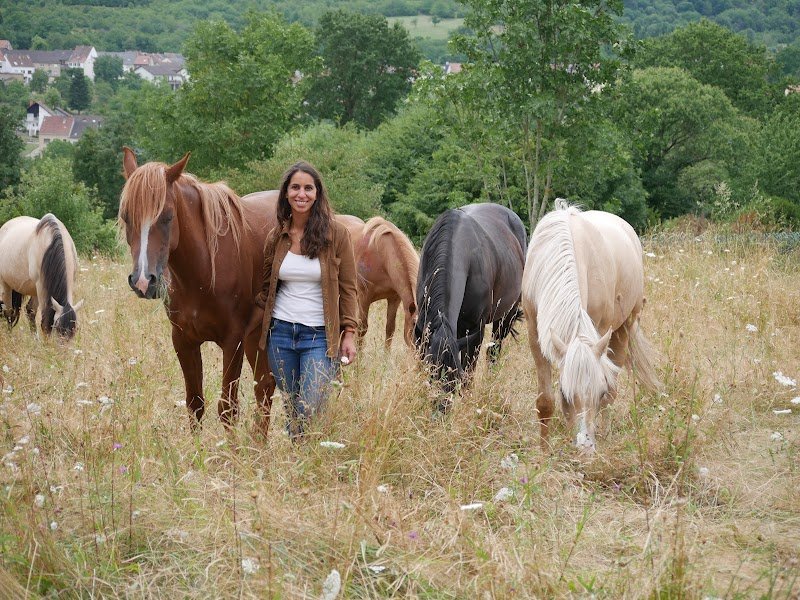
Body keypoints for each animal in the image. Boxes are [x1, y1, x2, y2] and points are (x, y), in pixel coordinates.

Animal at [119, 148, 276, 434]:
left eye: (168, 216)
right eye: (126, 217)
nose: (143, 282)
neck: (202, 272)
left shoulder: (233, 341)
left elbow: (228, 408)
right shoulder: (183, 340)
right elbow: (195, 405)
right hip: (256, 337)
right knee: (265, 387)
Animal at [414, 203, 526, 397]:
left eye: (453, 381)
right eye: (432, 375)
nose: (441, 405)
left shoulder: (475, 330)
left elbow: (469, 374)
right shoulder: (424, 328)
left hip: (506, 317)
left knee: (494, 352)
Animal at [521, 200, 660, 454]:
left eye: (599, 390)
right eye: (566, 393)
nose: (586, 447)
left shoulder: (600, 332)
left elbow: (607, 389)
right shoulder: (534, 333)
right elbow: (545, 401)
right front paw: (545, 452)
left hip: (623, 328)